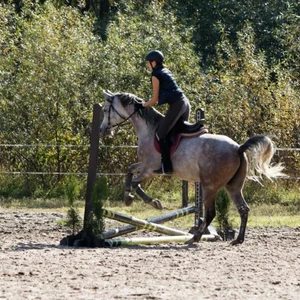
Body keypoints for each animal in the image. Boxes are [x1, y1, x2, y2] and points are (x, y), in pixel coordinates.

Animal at [99, 90, 284, 245]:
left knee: (210, 213)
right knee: (243, 209)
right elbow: (129, 170)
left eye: (106, 110)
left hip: (209, 186)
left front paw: (148, 202)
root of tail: (238, 148)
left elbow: (136, 183)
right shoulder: (143, 165)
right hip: (233, 186)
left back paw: (195, 238)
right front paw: (127, 196)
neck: (148, 129)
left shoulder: (150, 169)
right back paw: (238, 239)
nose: (102, 130)